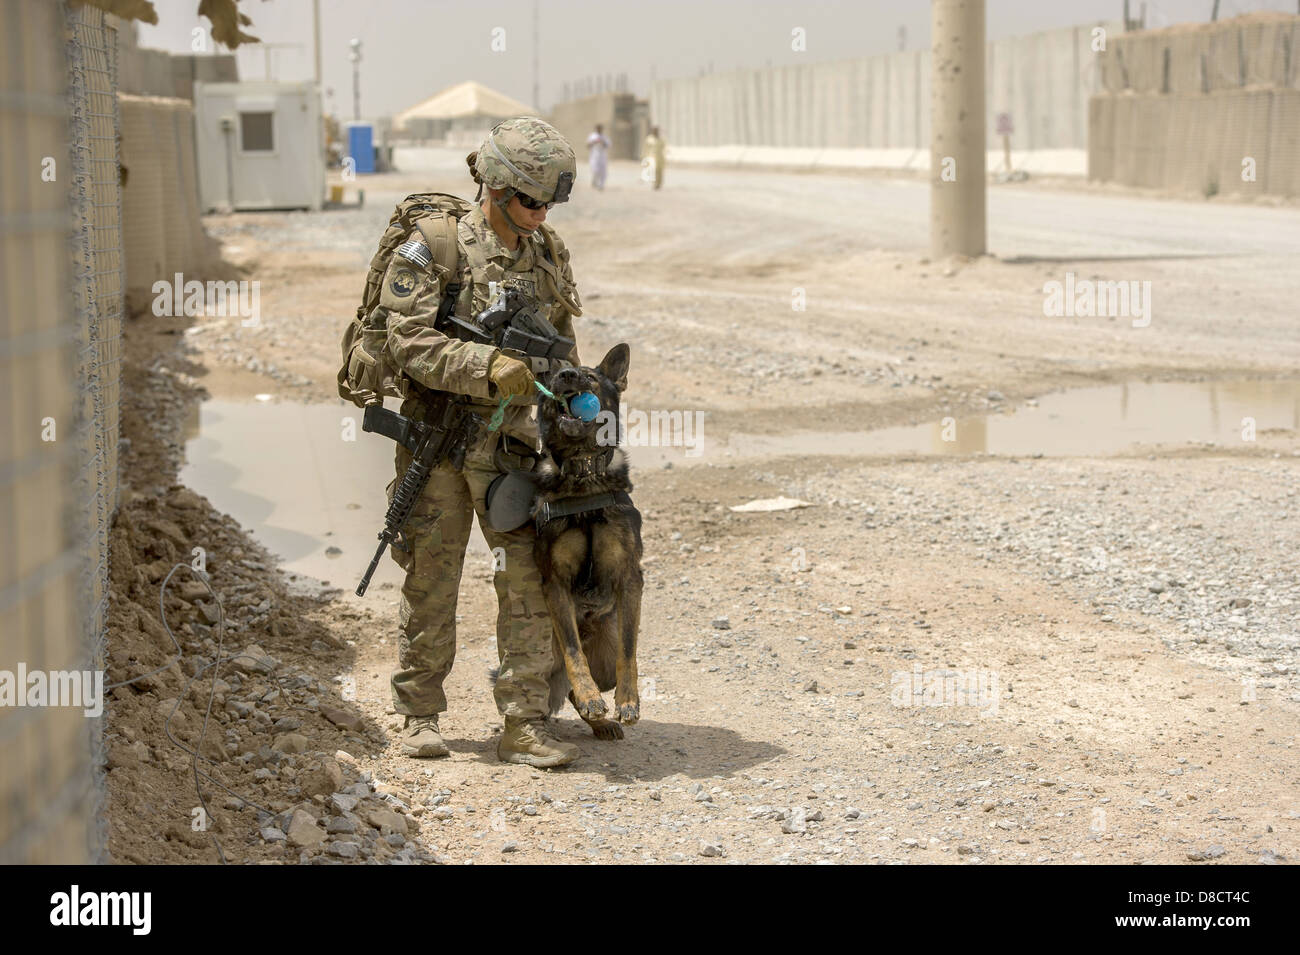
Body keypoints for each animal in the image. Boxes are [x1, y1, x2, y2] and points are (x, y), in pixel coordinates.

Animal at [530, 343, 642, 738]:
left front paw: (628, 702)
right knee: (560, 679)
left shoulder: (630, 578)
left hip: (605, 652)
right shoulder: (555, 584)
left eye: (591, 377)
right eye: (551, 378)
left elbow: (629, 649)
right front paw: (592, 698)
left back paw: (604, 722)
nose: (565, 375)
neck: (584, 473)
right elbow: (574, 653)